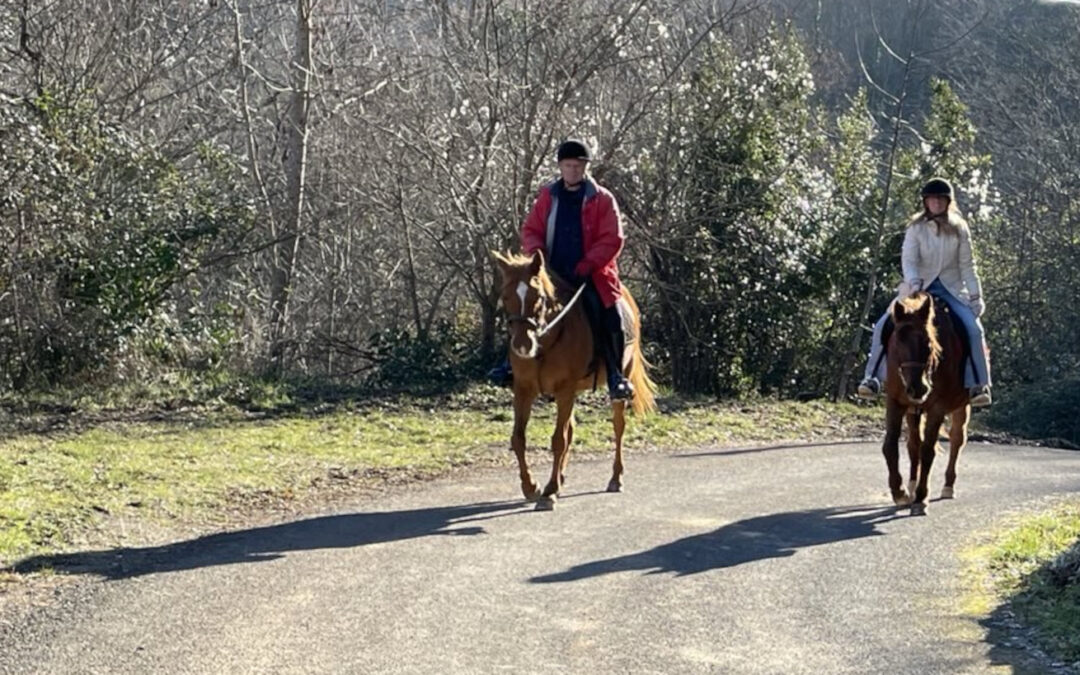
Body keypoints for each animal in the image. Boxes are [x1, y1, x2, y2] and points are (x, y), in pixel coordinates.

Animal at [492, 250, 657, 511]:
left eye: (538, 296)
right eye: (506, 296)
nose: (522, 345)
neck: (546, 342)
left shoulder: (565, 390)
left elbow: (558, 440)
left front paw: (549, 492)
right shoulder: (524, 389)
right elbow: (518, 438)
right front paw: (531, 487)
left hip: (617, 382)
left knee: (618, 426)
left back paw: (615, 478)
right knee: (570, 429)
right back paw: (560, 478)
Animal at [881, 292, 971, 516]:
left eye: (929, 343)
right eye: (897, 343)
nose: (918, 388)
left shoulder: (937, 408)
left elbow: (928, 450)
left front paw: (921, 498)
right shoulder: (895, 402)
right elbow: (890, 446)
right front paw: (900, 492)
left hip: (961, 407)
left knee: (957, 439)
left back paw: (948, 486)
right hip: (913, 411)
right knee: (914, 443)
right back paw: (912, 486)